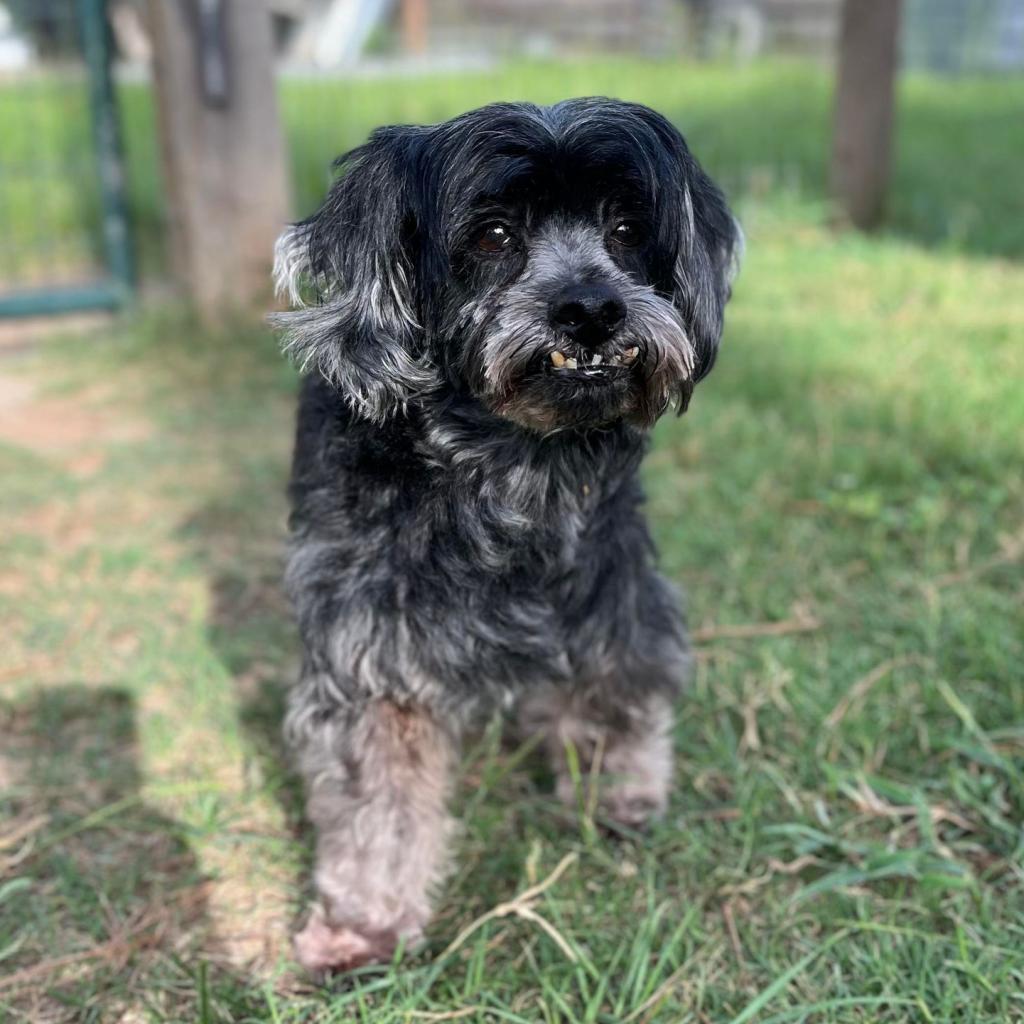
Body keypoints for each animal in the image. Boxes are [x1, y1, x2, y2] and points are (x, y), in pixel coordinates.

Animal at [270, 97, 737, 974]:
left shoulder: (610, 586)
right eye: (492, 235)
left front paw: (616, 790)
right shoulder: (371, 653)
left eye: (627, 228)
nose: (591, 308)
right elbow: (376, 797)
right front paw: (365, 922)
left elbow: (617, 684)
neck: (509, 465)